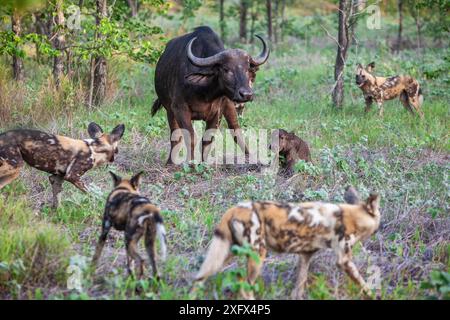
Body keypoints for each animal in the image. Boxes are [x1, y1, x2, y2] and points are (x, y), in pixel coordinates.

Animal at [151, 26, 270, 164]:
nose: (246, 94)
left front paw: (203, 163)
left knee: (236, 130)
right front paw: (191, 163)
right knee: (175, 136)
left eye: (247, 69)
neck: (205, 92)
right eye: (226, 69)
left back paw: (250, 157)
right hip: (169, 110)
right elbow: (190, 137)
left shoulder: (217, 113)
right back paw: (170, 161)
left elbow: (207, 140)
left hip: (230, 106)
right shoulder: (179, 109)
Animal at [192, 188, 382, 300]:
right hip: (257, 254)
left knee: (200, 278)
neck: (351, 216)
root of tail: (234, 209)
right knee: (244, 286)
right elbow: (364, 285)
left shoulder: (305, 256)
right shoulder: (344, 261)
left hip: (223, 255)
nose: (379, 228)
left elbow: (299, 286)